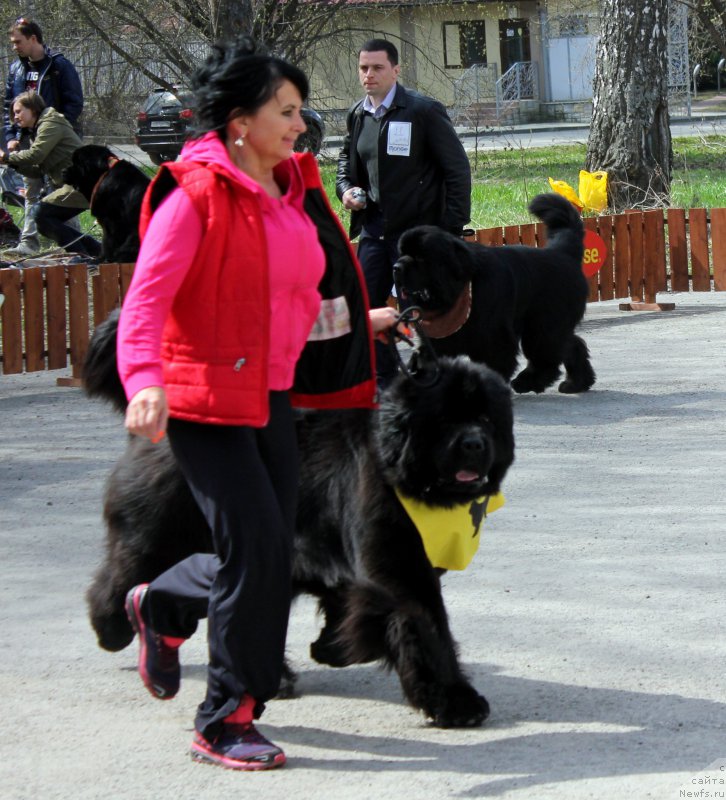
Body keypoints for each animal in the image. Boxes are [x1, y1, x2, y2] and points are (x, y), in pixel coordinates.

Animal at [84, 310, 516, 724]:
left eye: (487, 420)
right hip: (166, 531)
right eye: (444, 420)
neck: (402, 473)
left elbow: (348, 603)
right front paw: (456, 701)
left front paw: (331, 647)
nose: (474, 443)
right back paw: (113, 627)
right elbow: (426, 626)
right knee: (128, 571)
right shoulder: (400, 565)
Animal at [398, 192, 596, 396]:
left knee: (544, 354)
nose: (396, 266)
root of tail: (564, 254)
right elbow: (428, 359)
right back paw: (577, 383)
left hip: (543, 324)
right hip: (552, 325)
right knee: (571, 344)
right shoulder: (439, 336)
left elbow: (495, 361)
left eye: (420, 258)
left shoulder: (493, 335)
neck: (459, 287)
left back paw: (527, 382)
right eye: (401, 253)